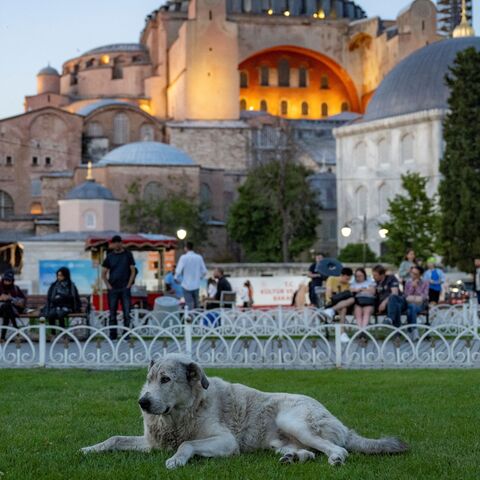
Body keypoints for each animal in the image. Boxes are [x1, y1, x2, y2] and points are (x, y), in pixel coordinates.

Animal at [80, 352, 406, 468]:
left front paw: (177, 460)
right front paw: (89, 449)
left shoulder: (226, 442)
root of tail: (342, 425)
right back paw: (293, 457)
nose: (143, 402)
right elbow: (114, 439)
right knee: (309, 451)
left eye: (166, 379)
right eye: (148, 379)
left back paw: (336, 458)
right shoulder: (150, 443)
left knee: (336, 448)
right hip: (279, 439)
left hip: (294, 421)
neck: (182, 412)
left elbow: (187, 444)